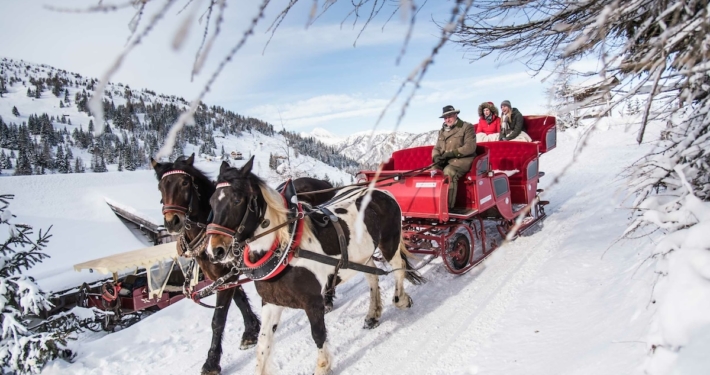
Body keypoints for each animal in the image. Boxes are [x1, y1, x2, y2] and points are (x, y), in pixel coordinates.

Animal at [153, 154, 336, 374]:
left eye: (184, 183)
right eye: (160, 186)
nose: (173, 221)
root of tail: (323, 183)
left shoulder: (230, 274)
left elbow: (218, 319)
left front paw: (212, 362)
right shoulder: (222, 276)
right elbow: (239, 300)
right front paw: (251, 330)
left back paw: (328, 299)